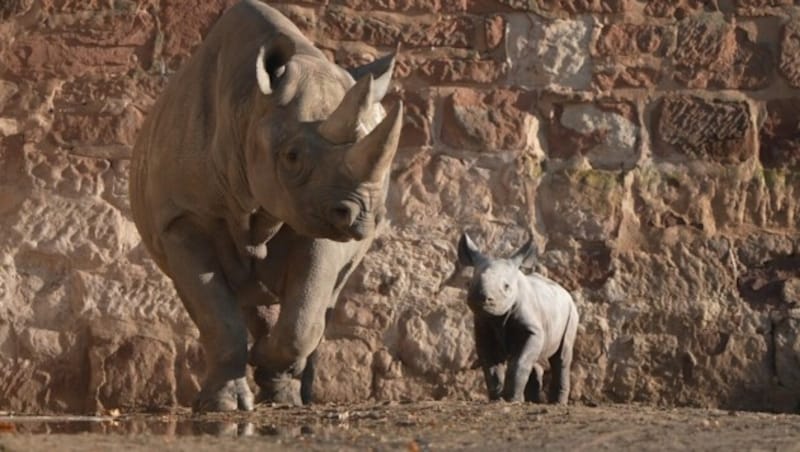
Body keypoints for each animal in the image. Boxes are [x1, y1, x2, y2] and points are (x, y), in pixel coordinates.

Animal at [460, 233, 580, 402]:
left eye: (506, 287)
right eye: (470, 282)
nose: (481, 298)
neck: (497, 319)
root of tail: (564, 291)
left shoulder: (532, 329)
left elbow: (519, 361)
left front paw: (512, 400)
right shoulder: (484, 328)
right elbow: (491, 366)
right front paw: (497, 399)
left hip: (571, 312)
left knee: (561, 357)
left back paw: (557, 403)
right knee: (536, 359)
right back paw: (533, 401)